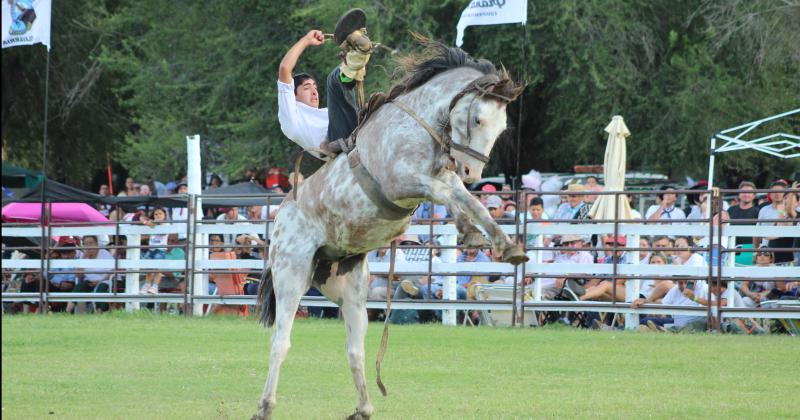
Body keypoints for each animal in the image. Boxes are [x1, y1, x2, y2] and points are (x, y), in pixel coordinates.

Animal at [256, 39, 528, 420]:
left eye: (501, 128)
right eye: (478, 119)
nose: (473, 171)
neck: (416, 125)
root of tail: (281, 219)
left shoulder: (441, 176)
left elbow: (467, 200)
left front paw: (504, 245)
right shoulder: (403, 183)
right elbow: (447, 193)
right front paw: (474, 231)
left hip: (349, 289)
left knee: (354, 348)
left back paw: (363, 407)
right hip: (291, 274)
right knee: (280, 341)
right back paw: (265, 406)